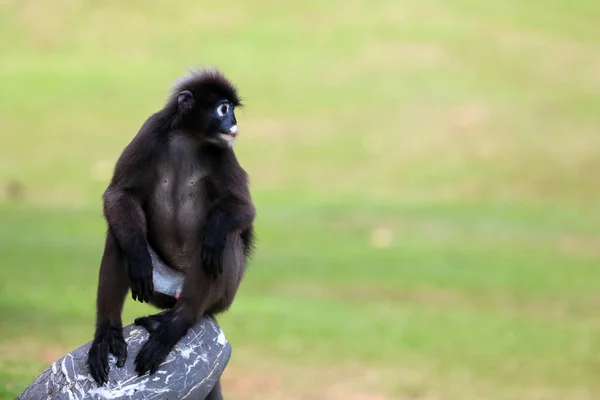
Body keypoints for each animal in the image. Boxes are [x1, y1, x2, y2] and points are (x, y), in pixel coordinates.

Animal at [88, 68, 256, 396]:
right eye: (223, 109)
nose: (234, 123)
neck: (188, 138)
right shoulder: (151, 131)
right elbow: (119, 195)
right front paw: (138, 255)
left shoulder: (223, 151)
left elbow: (243, 210)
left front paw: (217, 229)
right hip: (160, 290)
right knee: (117, 235)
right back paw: (107, 335)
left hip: (223, 293)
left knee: (221, 242)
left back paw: (176, 322)